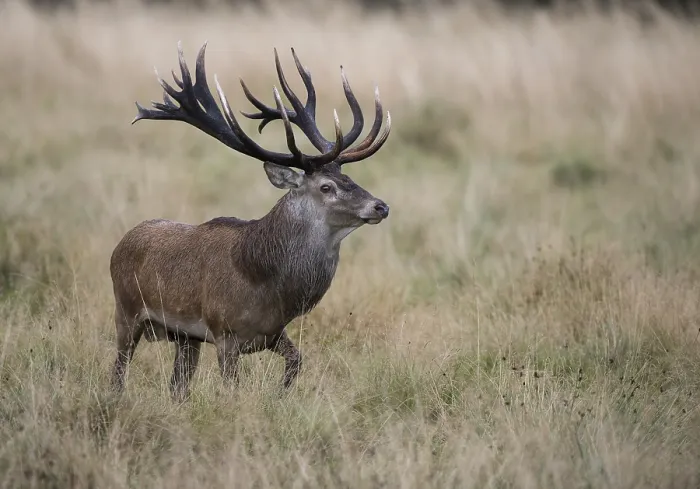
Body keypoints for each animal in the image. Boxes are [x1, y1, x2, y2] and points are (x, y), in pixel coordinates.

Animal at [109, 42, 391, 401]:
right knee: (118, 372)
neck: (266, 284)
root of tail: (120, 244)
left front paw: (281, 395)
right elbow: (232, 389)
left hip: (186, 338)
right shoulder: (224, 333)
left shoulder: (272, 333)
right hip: (126, 312)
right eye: (326, 187)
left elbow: (297, 361)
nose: (380, 206)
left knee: (177, 387)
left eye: (350, 178)